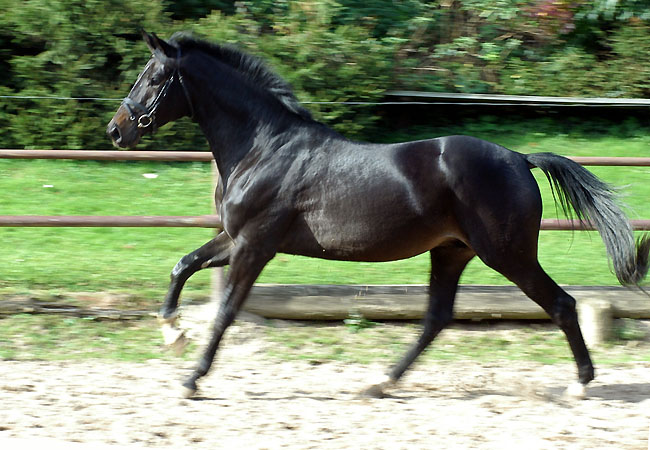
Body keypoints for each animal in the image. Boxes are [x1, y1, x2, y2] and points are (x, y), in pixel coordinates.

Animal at [106, 30, 644, 398]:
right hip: (452, 252)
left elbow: (225, 312)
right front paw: (172, 335)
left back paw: (580, 383)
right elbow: (182, 265)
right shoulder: (236, 239)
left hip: (506, 254)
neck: (264, 148)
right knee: (436, 319)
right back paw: (382, 382)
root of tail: (518, 158)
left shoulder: (255, 245)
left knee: (561, 305)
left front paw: (192, 378)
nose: (116, 130)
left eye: (155, 77)